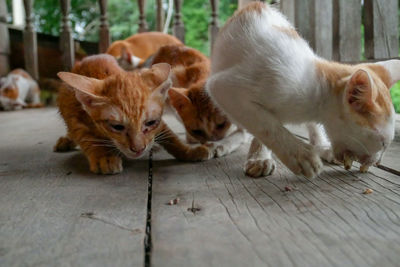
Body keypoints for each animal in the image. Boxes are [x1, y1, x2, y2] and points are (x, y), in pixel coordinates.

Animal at [54, 54, 214, 176]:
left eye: (150, 122)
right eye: (117, 127)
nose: (138, 149)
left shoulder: (159, 123)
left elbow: (170, 137)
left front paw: (188, 151)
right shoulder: (73, 115)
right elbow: (86, 137)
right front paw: (103, 156)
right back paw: (66, 141)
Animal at [208, 2, 398, 179]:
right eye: (382, 143)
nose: (377, 162)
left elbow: (298, 124)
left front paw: (320, 147)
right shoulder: (224, 87)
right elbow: (265, 124)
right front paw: (299, 156)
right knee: (241, 129)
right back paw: (221, 145)